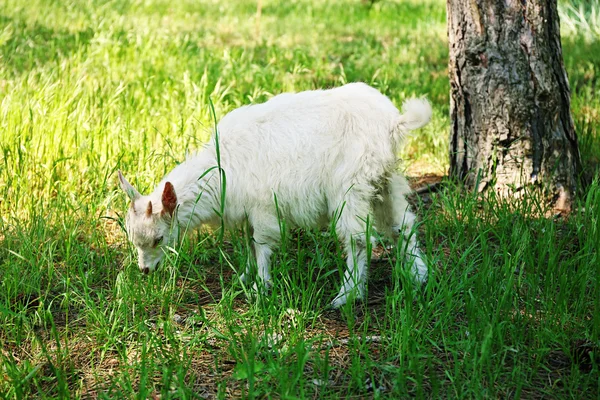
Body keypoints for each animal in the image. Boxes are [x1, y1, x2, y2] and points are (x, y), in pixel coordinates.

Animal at [118, 80, 432, 306]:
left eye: (159, 239)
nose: (145, 270)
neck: (221, 166)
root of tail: (393, 124)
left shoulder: (263, 207)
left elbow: (261, 245)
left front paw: (261, 287)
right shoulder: (247, 212)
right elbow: (248, 243)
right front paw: (243, 278)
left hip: (351, 187)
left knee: (358, 239)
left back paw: (346, 295)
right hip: (385, 180)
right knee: (402, 225)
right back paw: (419, 275)